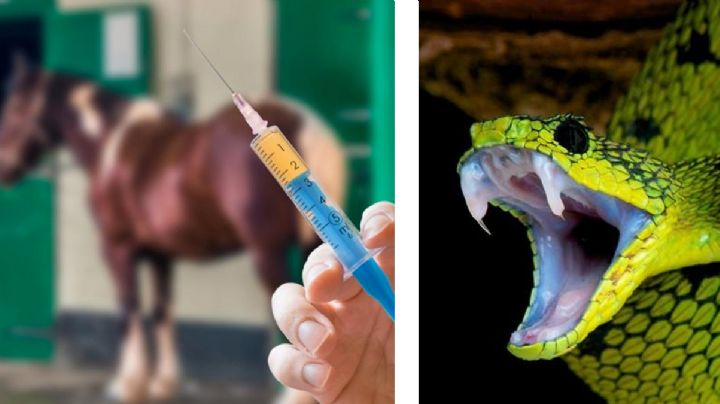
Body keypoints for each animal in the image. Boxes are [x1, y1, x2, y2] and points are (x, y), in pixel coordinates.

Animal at [0, 56, 346, 402]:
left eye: (14, 106)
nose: (5, 170)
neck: (110, 146)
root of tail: (303, 123)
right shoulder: (159, 253)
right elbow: (161, 310)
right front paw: (164, 384)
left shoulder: (117, 247)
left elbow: (128, 310)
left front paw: (128, 384)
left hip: (268, 252)